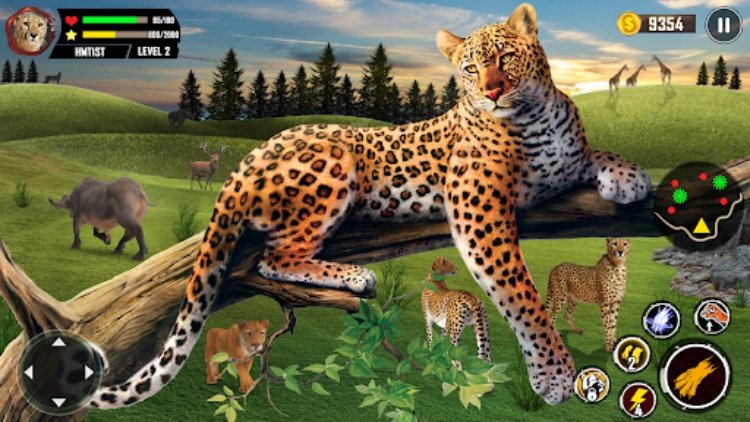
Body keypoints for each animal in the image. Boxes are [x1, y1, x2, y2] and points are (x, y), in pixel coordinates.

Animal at [89, 3, 651, 409]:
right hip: (334, 163)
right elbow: (523, 297)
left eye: (505, 59)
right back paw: (354, 276)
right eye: (470, 69)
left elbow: (592, 154)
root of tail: (247, 159)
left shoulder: (565, 159)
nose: (492, 93)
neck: (536, 115)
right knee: (275, 256)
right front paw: (554, 373)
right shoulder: (479, 211)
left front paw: (628, 175)